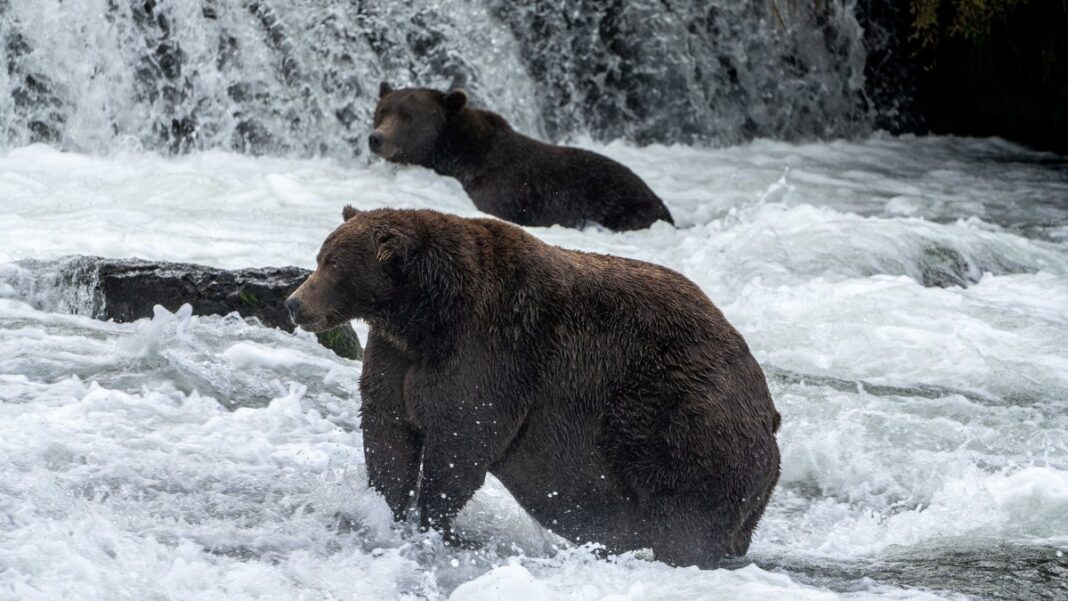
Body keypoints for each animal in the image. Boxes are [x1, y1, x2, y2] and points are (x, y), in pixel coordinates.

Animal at [288, 207, 781, 567]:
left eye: (332, 262)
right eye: (320, 257)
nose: (294, 303)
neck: (426, 316)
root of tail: (769, 409)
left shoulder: (492, 351)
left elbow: (462, 439)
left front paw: (432, 521)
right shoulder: (396, 357)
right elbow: (388, 432)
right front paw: (385, 510)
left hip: (683, 419)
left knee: (686, 516)